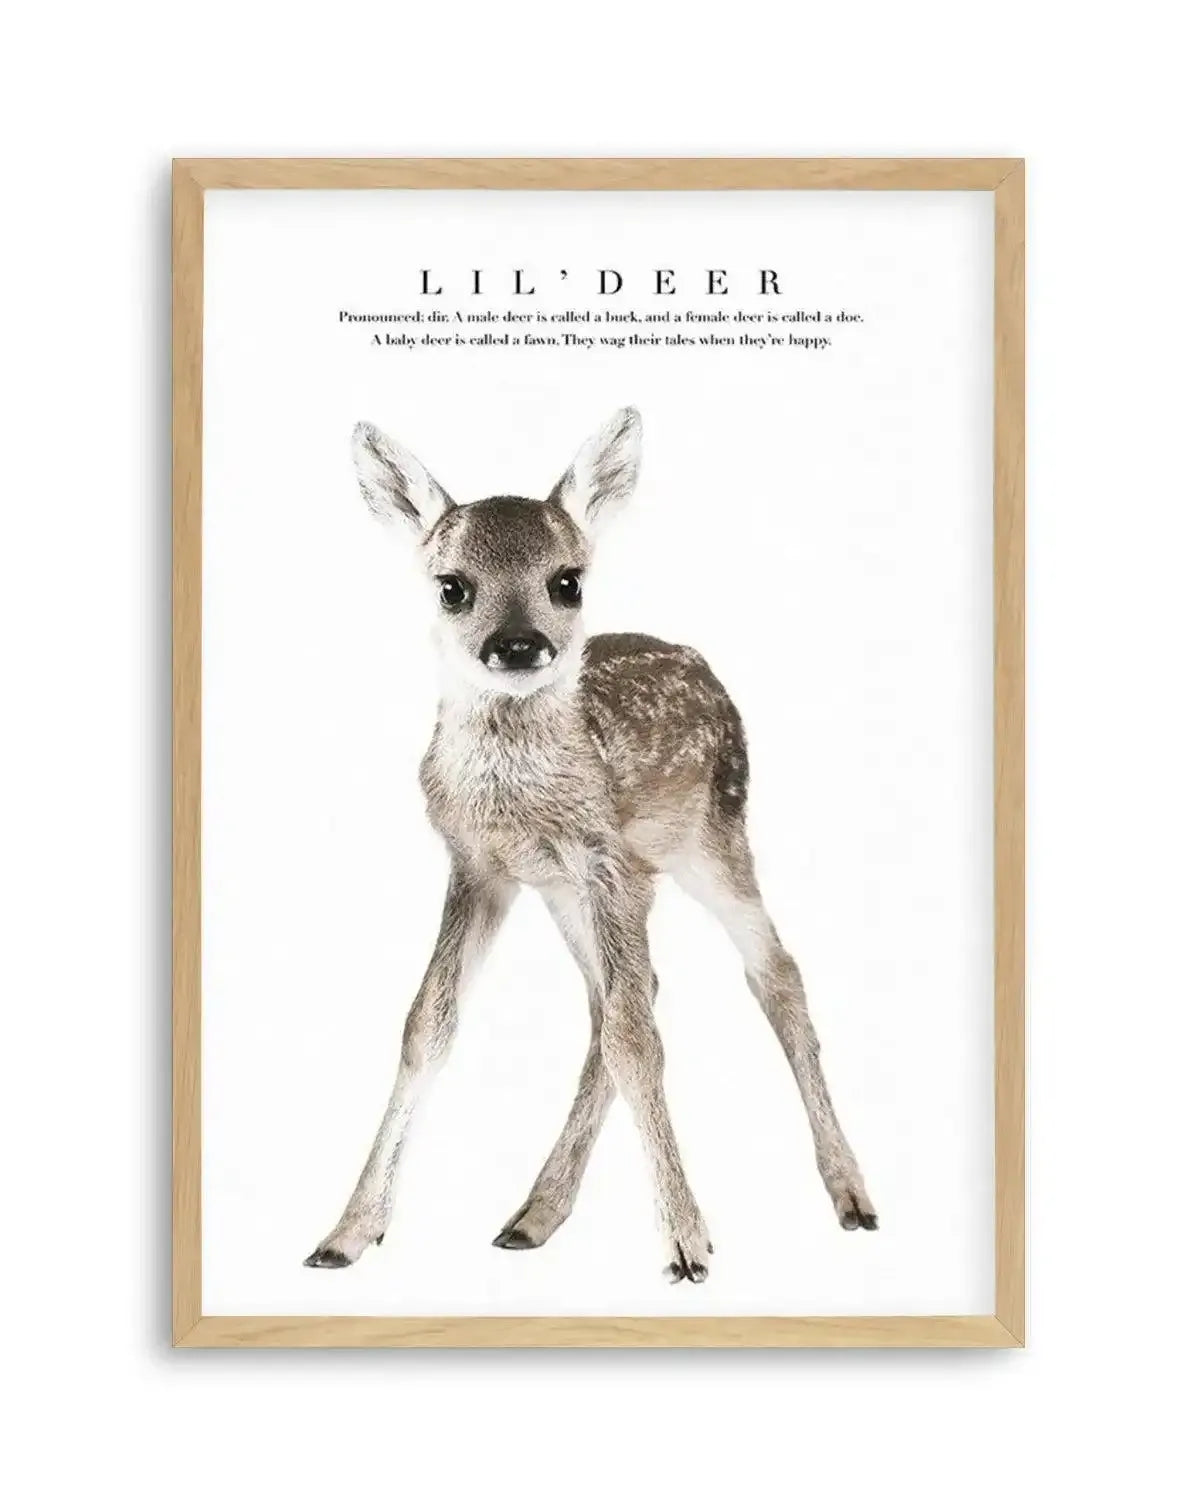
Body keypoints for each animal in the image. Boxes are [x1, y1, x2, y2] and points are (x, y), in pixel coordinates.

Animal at [304, 407, 876, 1284]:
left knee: (771, 973)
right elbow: (428, 1023)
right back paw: (534, 1215)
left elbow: (638, 1040)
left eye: (567, 581)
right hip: (580, 891)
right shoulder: (483, 866)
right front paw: (347, 1232)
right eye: (451, 585)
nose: (517, 645)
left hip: (713, 838)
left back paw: (851, 1195)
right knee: (622, 999)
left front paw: (686, 1245)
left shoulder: (606, 859)